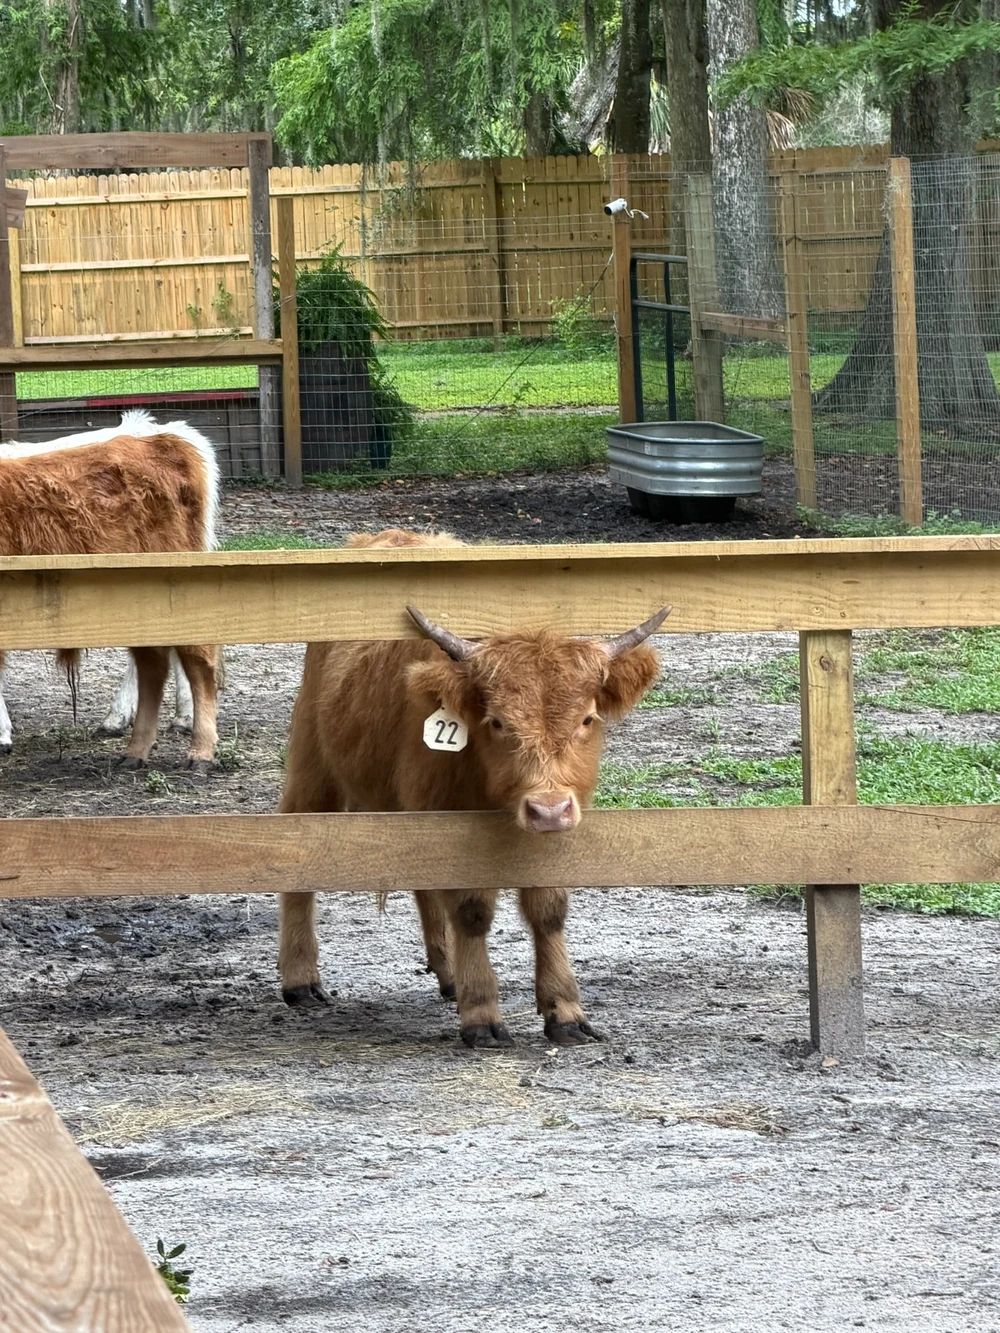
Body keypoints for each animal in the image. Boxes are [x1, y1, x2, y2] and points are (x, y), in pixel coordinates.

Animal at [278, 528, 668, 1047]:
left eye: (587, 718)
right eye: (497, 721)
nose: (547, 809)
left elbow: (548, 909)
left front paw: (564, 1010)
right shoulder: (448, 815)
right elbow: (471, 910)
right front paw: (481, 1013)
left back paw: (447, 975)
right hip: (313, 764)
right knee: (297, 853)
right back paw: (300, 980)